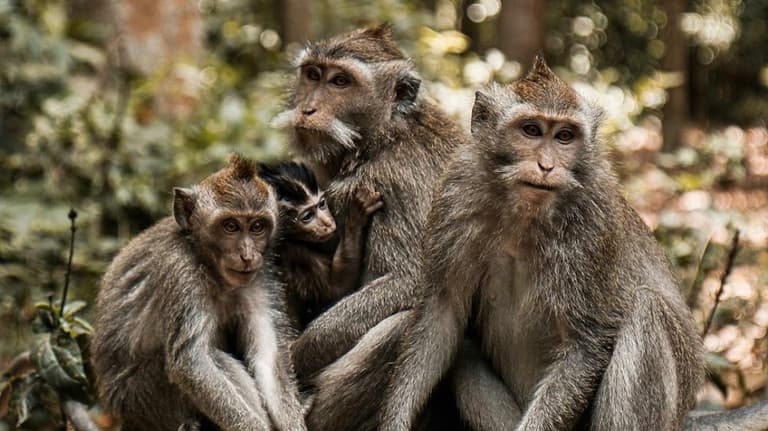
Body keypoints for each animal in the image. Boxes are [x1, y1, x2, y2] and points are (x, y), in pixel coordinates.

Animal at [91, 155, 307, 431]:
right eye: (230, 226)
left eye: (257, 226)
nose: (247, 255)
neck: (209, 265)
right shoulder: (180, 272)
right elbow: (192, 363)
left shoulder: (259, 278)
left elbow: (268, 358)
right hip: (139, 398)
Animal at [257, 161, 383, 330]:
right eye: (308, 217)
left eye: (321, 204)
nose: (328, 223)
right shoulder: (294, 252)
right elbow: (336, 288)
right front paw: (355, 217)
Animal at [270, 24, 467, 430]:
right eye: (313, 75)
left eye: (341, 82)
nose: (307, 109)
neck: (381, 138)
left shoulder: (397, 183)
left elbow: (415, 280)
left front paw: (297, 357)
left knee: (400, 324)